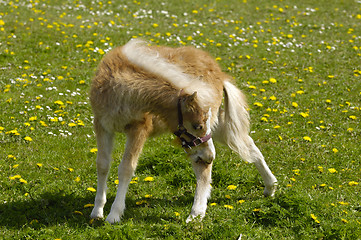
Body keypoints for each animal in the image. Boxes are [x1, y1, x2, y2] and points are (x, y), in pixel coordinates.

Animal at [89, 39, 276, 223]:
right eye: (197, 126)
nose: (209, 157)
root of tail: (219, 73)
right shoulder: (102, 125)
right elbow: (102, 165)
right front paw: (97, 211)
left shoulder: (139, 128)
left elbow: (126, 168)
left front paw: (114, 214)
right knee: (247, 144)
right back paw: (270, 187)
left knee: (205, 169)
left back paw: (196, 214)